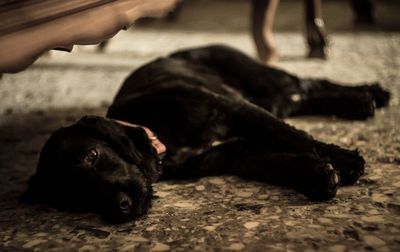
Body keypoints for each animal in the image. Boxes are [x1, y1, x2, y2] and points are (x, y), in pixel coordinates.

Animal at [20, 45, 390, 222]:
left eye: (93, 155)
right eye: (73, 196)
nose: (120, 207)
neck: (162, 136)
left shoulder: (235, 109)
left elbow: (297, 138)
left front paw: (345, 160)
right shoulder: (235, 154)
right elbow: (281, 163)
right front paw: (317, 175)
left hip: (264, 81)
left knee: (310, 83)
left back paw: (367, 95)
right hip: (273, 98)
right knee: (304, 94)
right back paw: (361, 101)